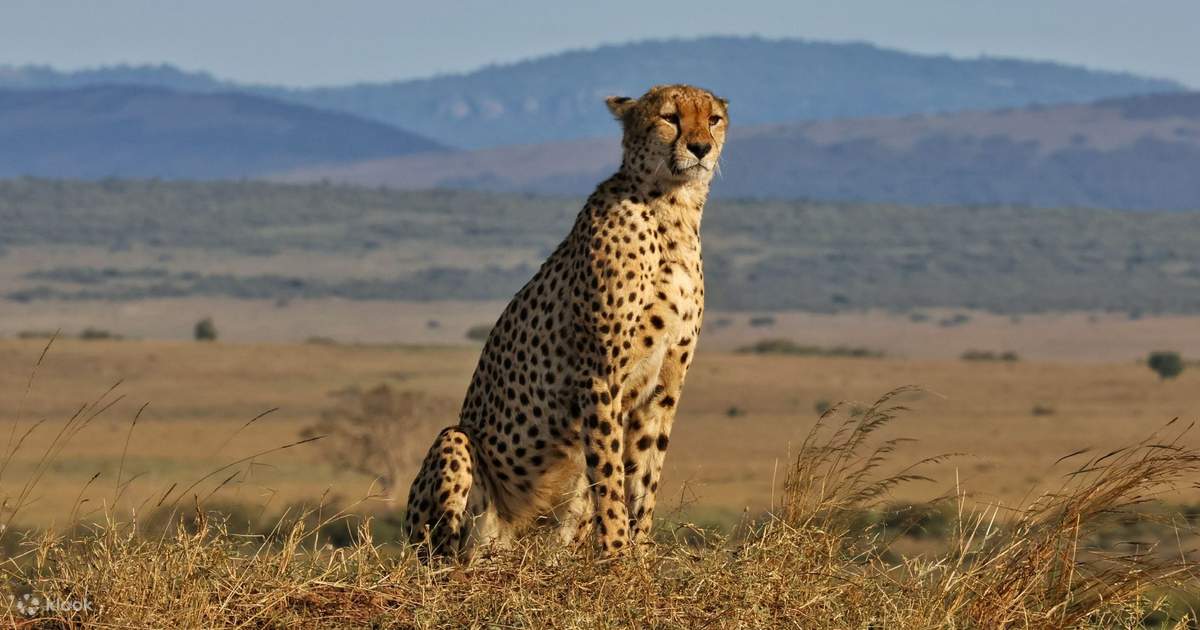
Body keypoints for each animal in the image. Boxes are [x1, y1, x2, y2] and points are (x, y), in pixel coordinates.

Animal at [404, 83, 728, 559]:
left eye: (713, 119)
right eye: (670, 117)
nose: (701, 147)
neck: (673, 209)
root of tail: (507, 546)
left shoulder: (664, 389)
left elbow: (644, 477)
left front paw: (640, 555)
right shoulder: (599, 377)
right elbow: (610, 480)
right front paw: (617, 556)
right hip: (455, 449)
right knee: (441, 553)